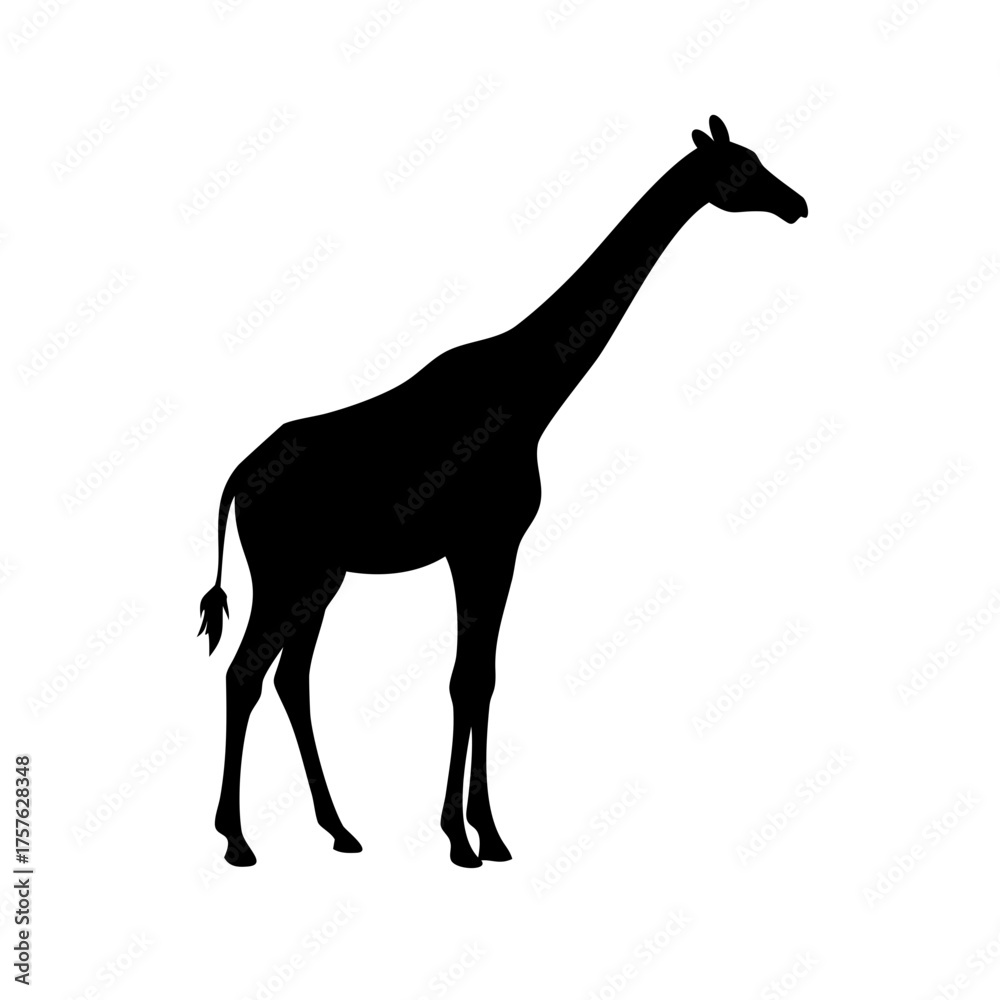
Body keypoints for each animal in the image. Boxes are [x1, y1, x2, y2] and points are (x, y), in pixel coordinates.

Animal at [200, 115, 808, 868]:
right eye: (741, 167)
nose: (797, 204)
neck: (532, 392)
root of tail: (236, 480)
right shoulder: (484, 542)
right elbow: (467, 679)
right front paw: (466, 839)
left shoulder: (489, 547)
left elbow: (480, 677)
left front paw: (481, 833)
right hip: (286, 571)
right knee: (244, 674)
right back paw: (236, 840)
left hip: (322, 575)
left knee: (289, 680)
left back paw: (339, 830)